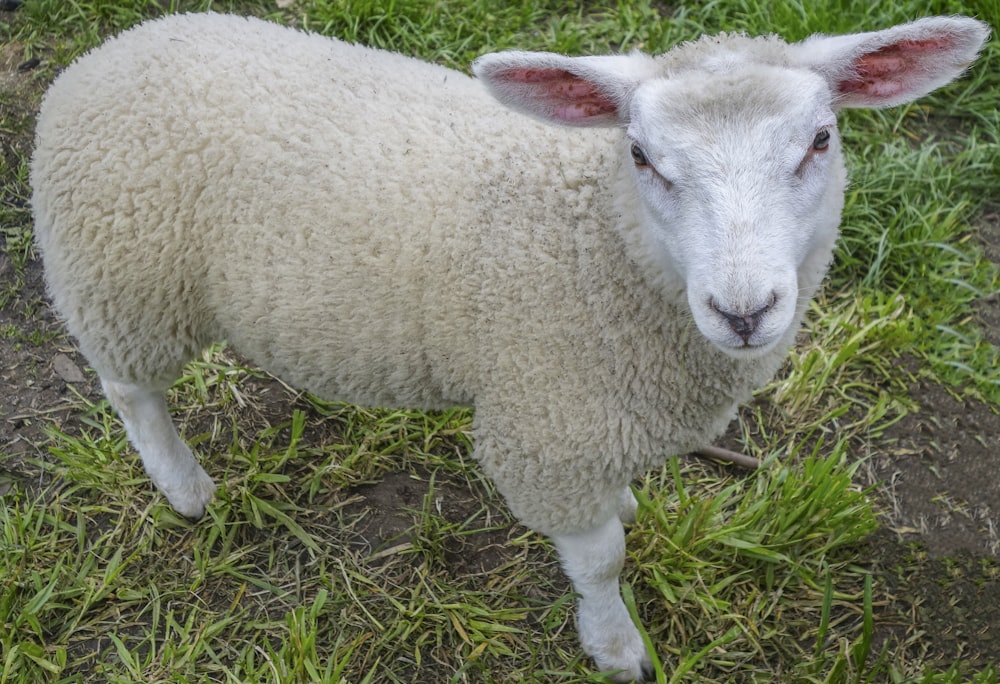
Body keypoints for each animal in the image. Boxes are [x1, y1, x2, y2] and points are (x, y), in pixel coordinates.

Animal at [31, 13, 984, 680]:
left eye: (820, 140)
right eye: (642, 156)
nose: (744, 310)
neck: (599, 241)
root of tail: (111, 51)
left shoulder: (600, 423)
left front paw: (628, 505)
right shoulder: (548, 431)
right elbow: (599, 562)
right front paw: (616, 648)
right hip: (125, 281)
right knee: (130, 390)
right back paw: (184, 486)